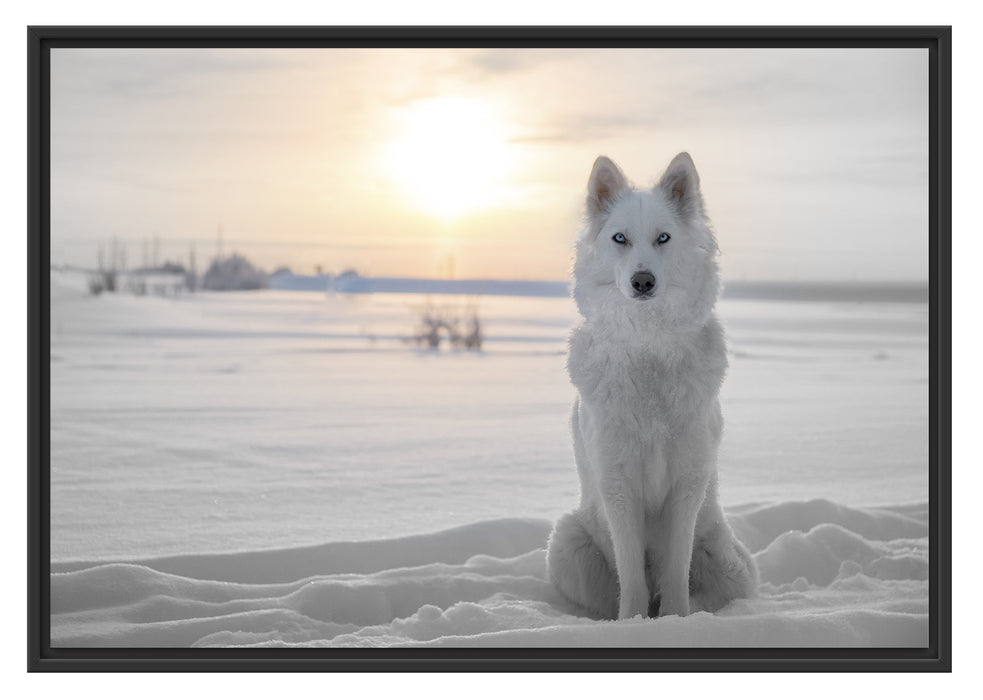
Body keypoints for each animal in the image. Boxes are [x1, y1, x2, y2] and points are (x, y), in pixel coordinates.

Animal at [545, 153, 758, 620]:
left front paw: (676, 619)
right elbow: (631, 574)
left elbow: (676, 568)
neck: (648, 348)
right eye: (620, 238)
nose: (643, 281)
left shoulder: (688, 484)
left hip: (729, 562)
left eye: (663, 238)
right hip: (567, 542)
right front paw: (634, 622)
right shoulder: (617, 484)